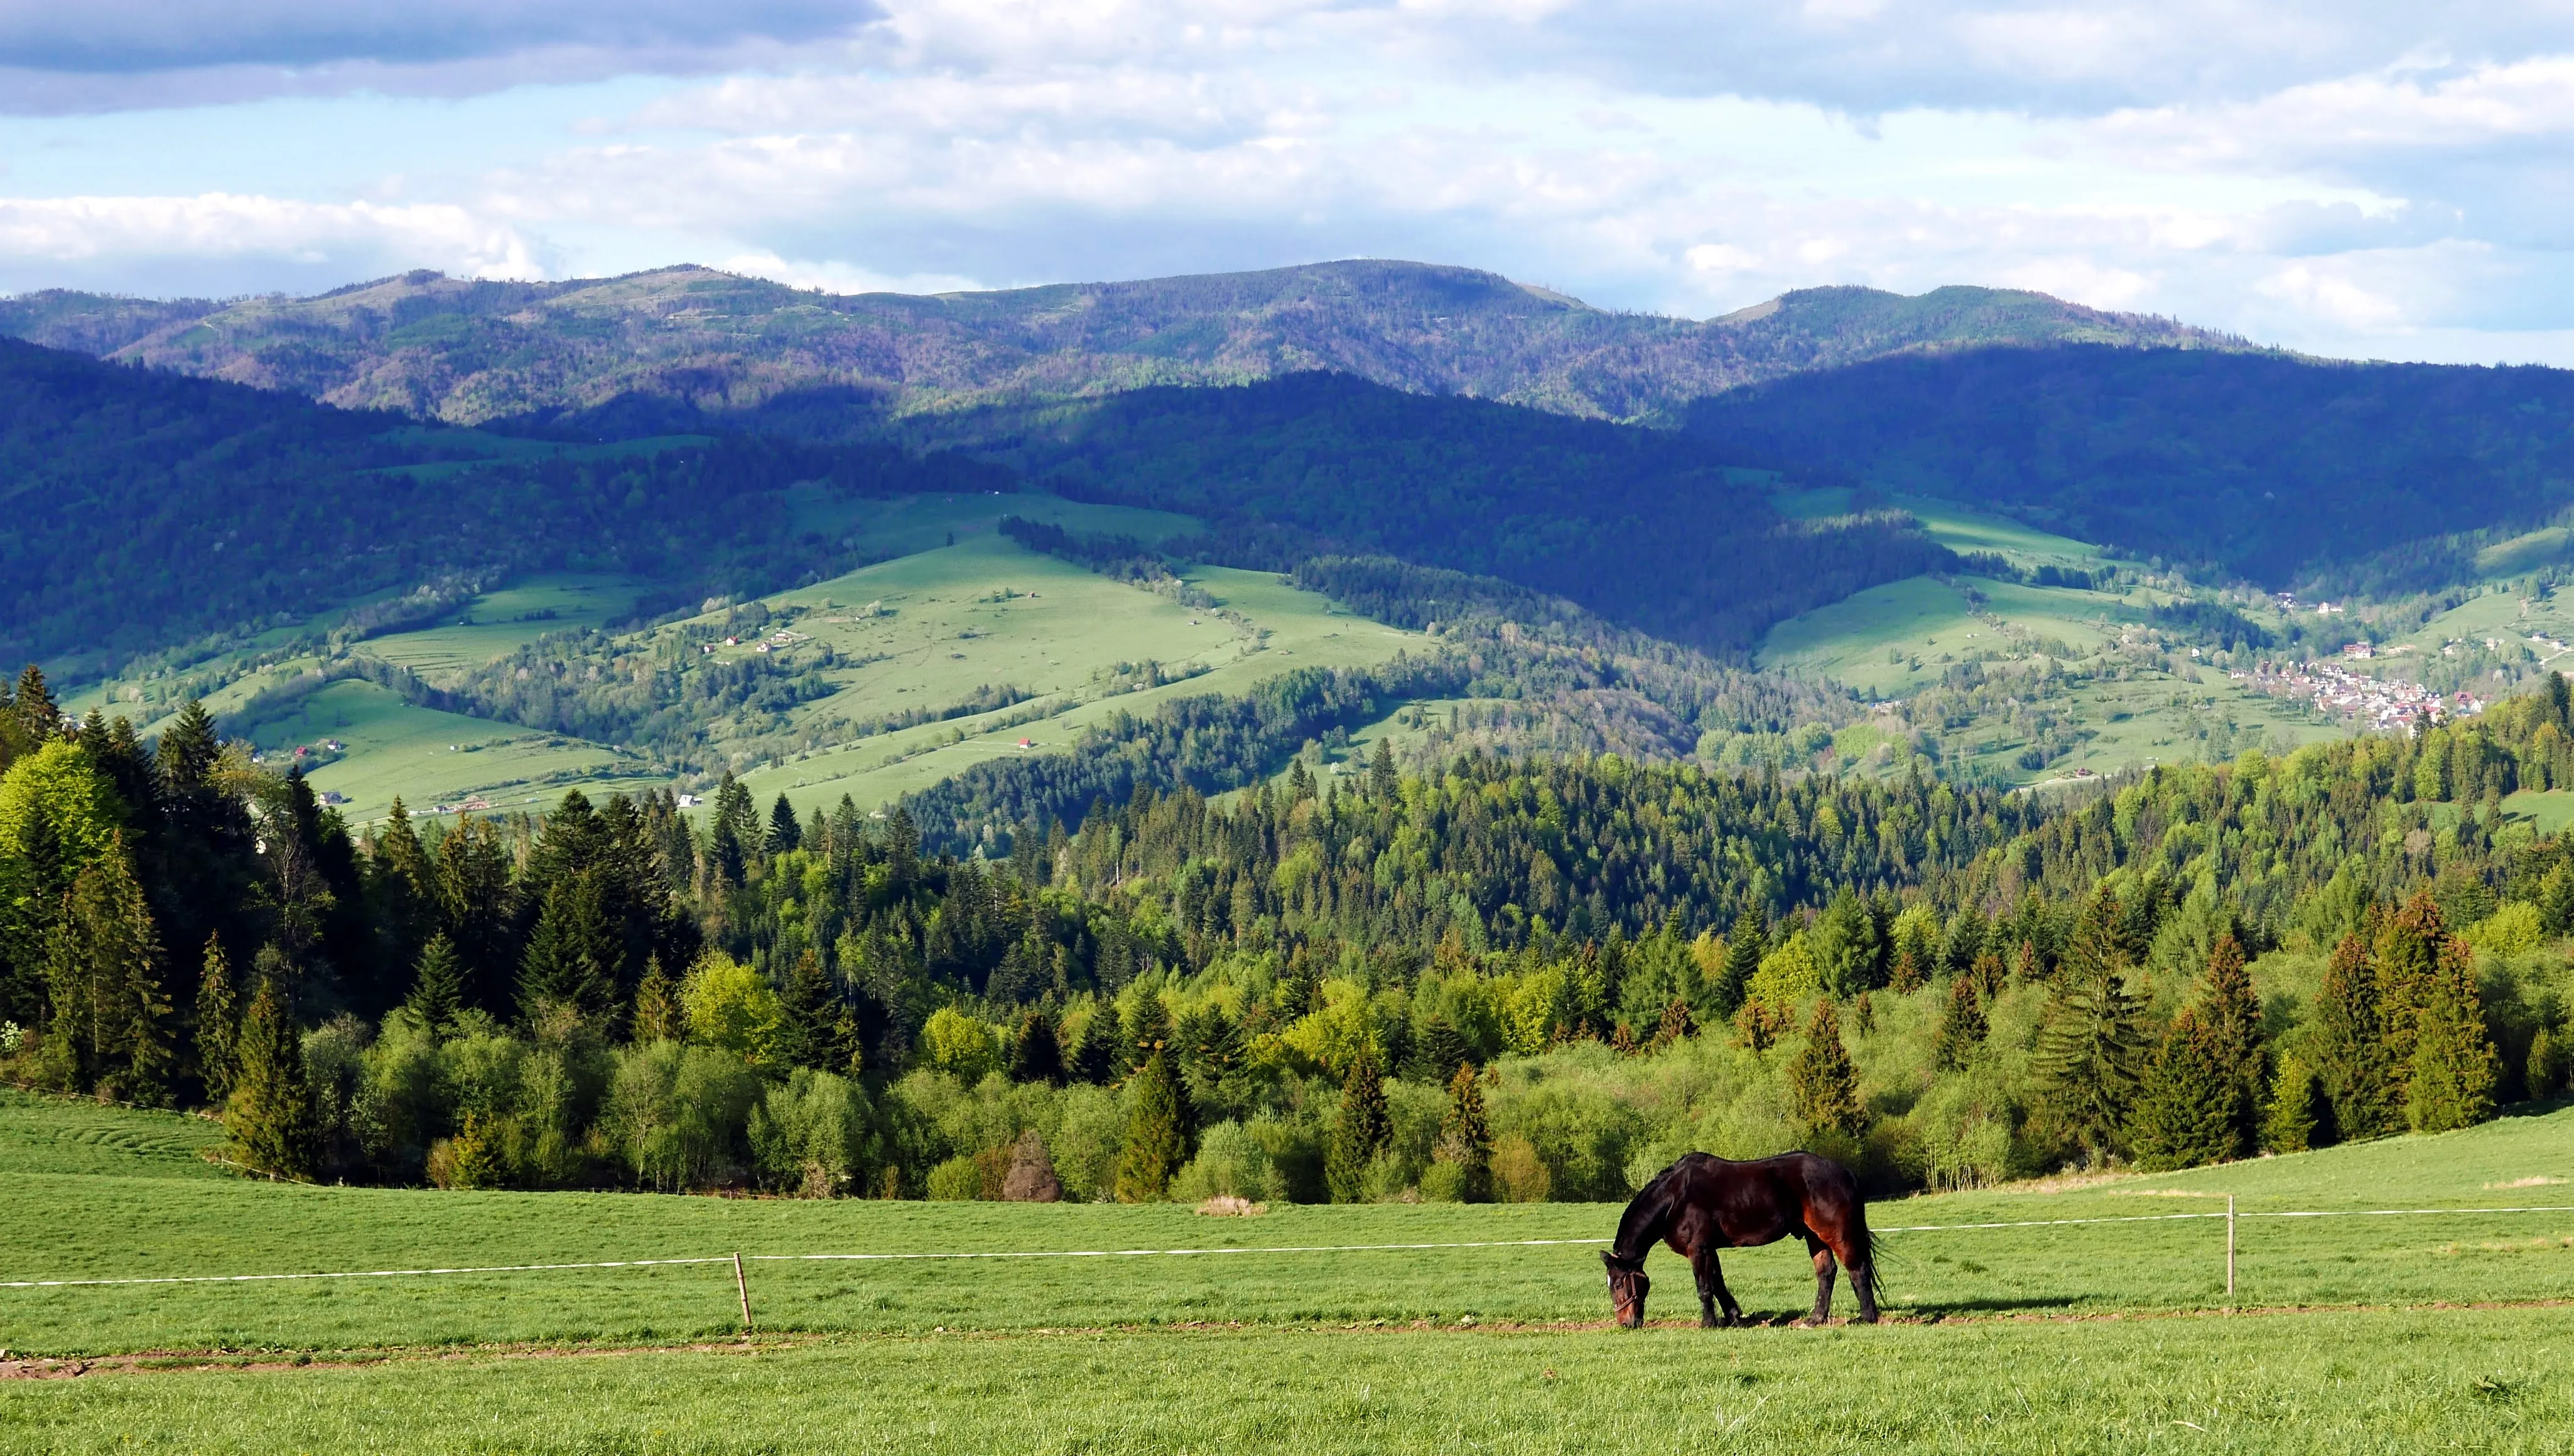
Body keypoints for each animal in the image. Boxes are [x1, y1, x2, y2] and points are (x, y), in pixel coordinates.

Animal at [1596, 1152, 1884, 1337]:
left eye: (1619, 1284)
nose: (1625, 1323)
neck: (1675, 1198)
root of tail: (1846, 1174)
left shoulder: (1698, 1249)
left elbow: (1704, 1287)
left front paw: (1708, 1323)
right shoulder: (1710, 1249)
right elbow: (1718, 1283)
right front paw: (1734, 1317)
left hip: (1838, 1233)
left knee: (1857, 1269)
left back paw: (1866, 1317)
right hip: (1814, 1237)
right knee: (1826, 1273)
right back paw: (1815, 1319)